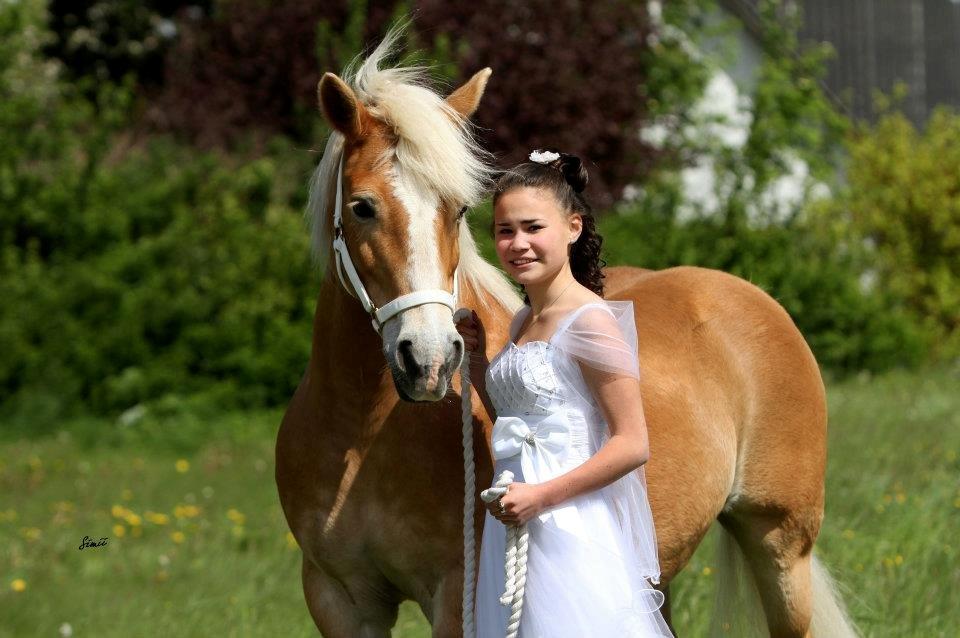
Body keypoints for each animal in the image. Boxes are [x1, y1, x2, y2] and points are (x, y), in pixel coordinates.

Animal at [274, 26, 860, 638]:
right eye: (362, 207)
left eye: (457, 210)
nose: (430, 360)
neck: (365, 439)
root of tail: (749, 295)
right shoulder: (339, 599)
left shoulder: (457, 595)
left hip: (781, 546)